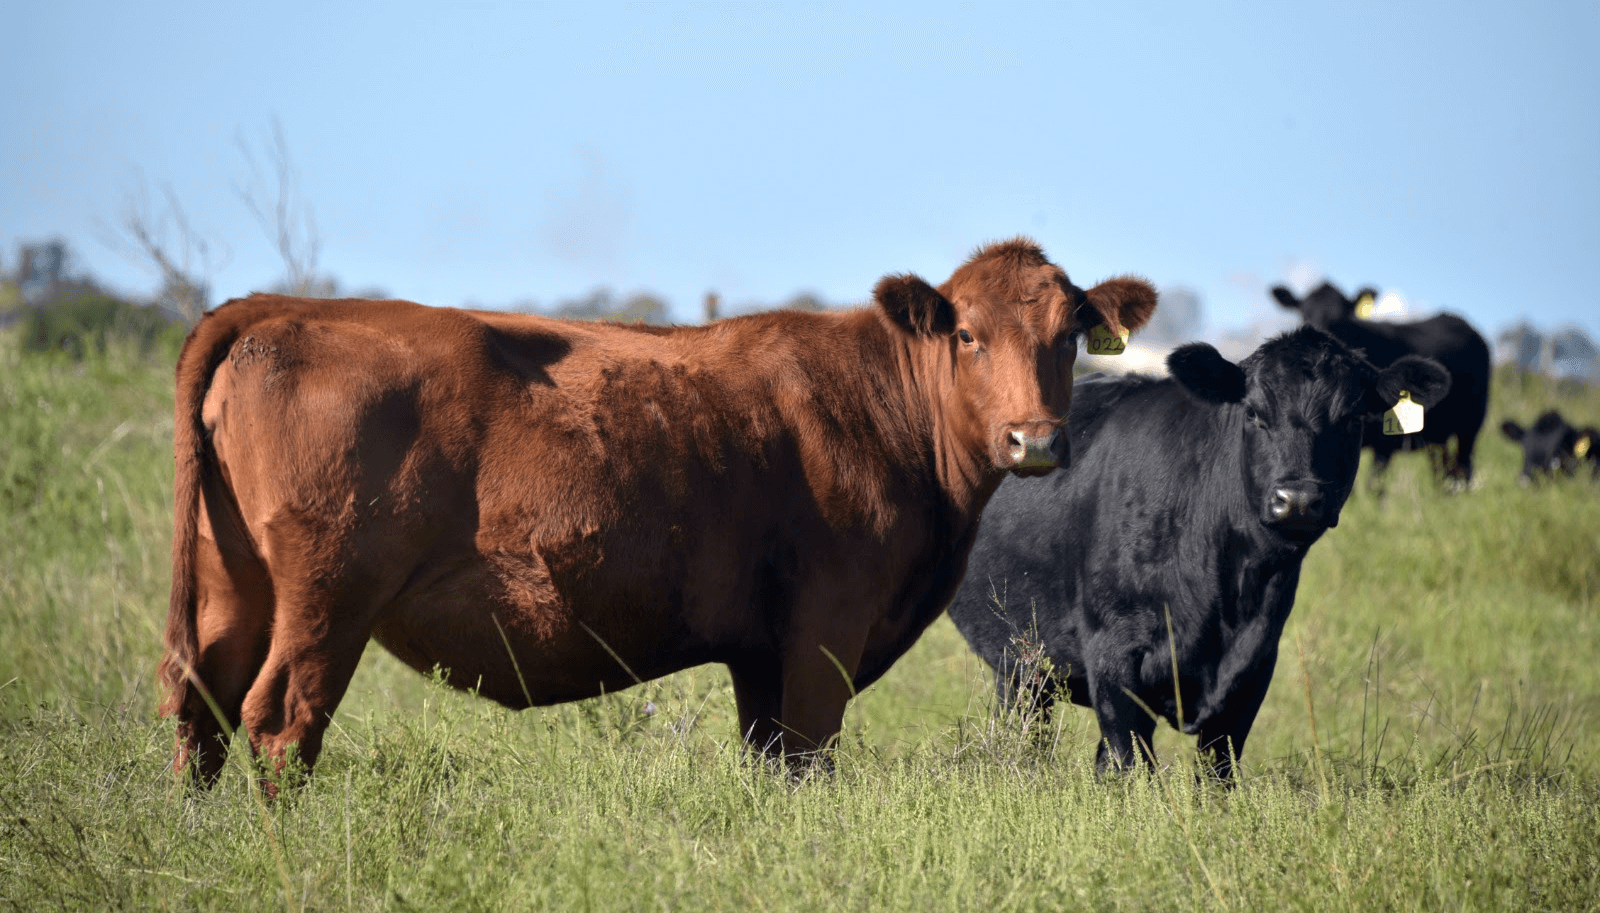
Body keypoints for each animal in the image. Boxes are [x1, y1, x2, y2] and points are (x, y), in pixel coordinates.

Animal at [162, 239, 1158, 789]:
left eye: (1069, 334)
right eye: (967, 334)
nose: (1035, 439)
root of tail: (279, 309)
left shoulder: (759, 651)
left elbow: (770, 760)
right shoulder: (824, 628)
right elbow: (809, 757)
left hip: (231, 584)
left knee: (199, 702)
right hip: (329, 596)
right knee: (279, 719)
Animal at [940, 329, 1459, 780]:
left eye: (1351, 419)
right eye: (1254, 414)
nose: (1297, 499)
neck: (1226, 595)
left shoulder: (1253, 669)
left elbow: (1216, 774)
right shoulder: (1112, 656)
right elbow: (1129, 768)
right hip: (1021, 655)